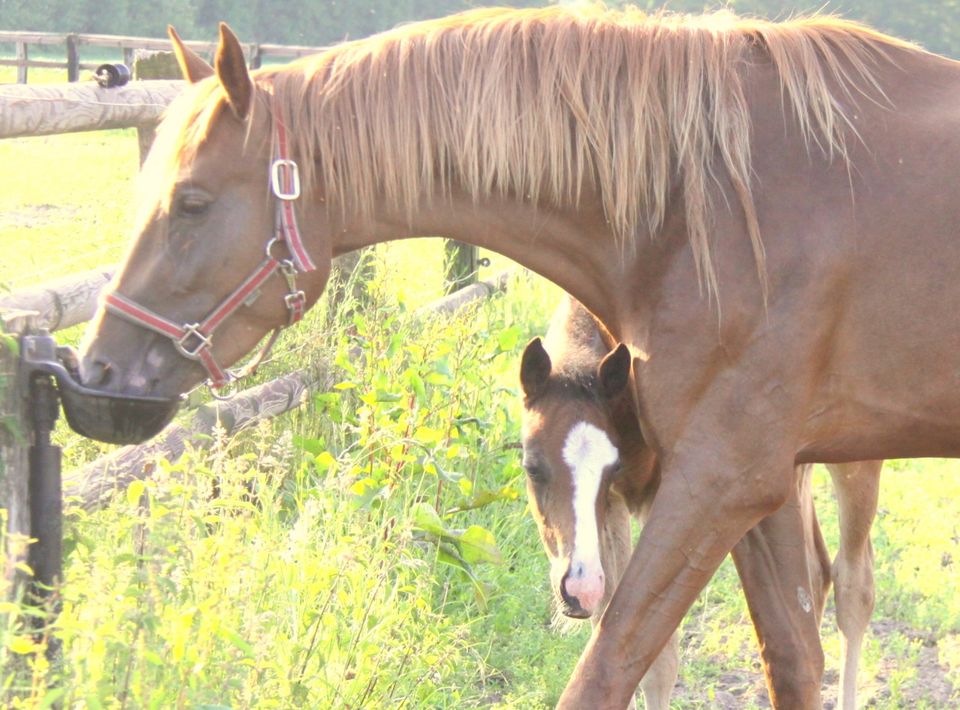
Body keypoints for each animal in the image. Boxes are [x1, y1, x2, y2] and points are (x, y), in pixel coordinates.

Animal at [524, 298, 884, 708]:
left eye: (610, 468)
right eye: (532, 467)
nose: (576, 591)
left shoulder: (674, 493)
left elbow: (657, 652)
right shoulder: (614, 504)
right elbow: (611, 623)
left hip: (855, 459)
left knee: (854, 584)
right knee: (815, 574)